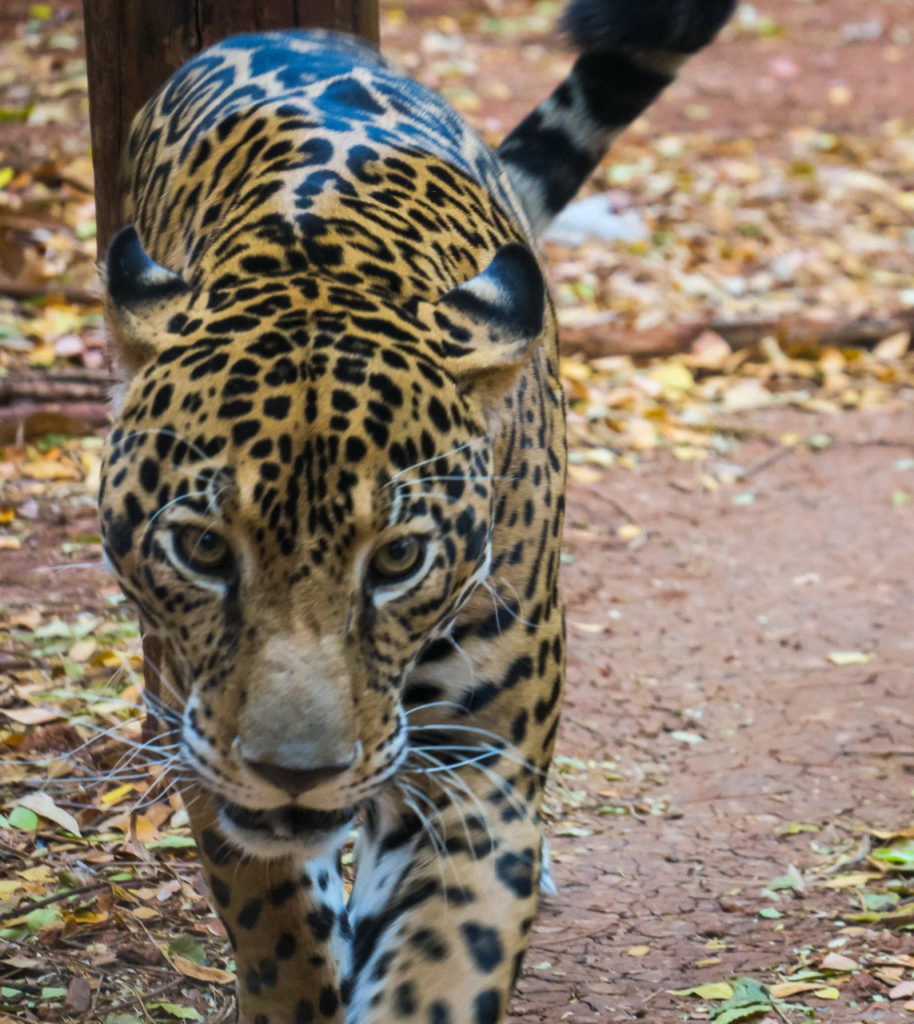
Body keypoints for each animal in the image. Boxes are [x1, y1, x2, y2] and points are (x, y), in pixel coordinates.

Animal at [97, 1, 734, 1021]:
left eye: (398, 561)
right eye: (202, 549)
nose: (297, 775)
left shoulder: (477, 778)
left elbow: (439, 968)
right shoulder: (209, 745)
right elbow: (278, 931)